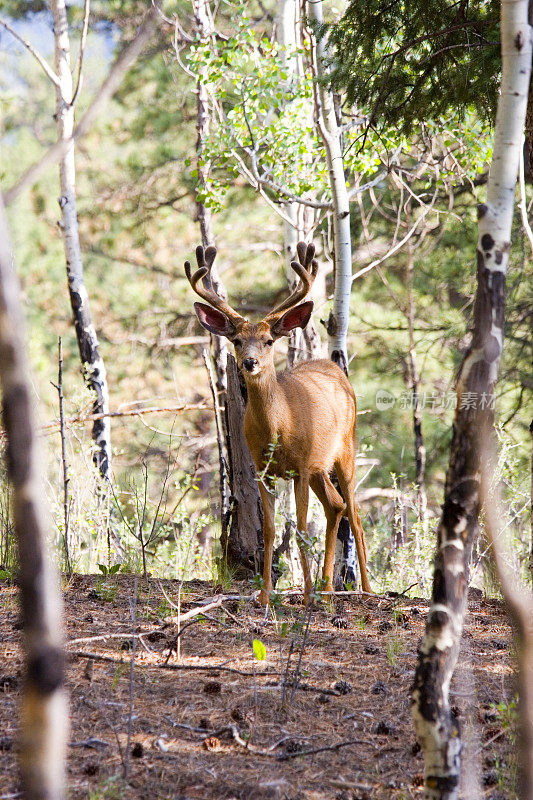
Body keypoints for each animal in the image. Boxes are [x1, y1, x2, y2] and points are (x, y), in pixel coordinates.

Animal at [185, 241, 372, 604]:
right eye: (236, 340)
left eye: (269, 340)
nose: (250, 362)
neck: (278, 427)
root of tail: (335, 368)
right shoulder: (264, 470)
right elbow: (270, 531)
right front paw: (265, 594)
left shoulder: (299, 466)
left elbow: (299, 529)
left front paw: (306, 595)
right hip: (319, 466)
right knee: (336, 505)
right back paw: (328, 586)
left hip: (345, 449)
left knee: (354, 515)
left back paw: (367, 590)